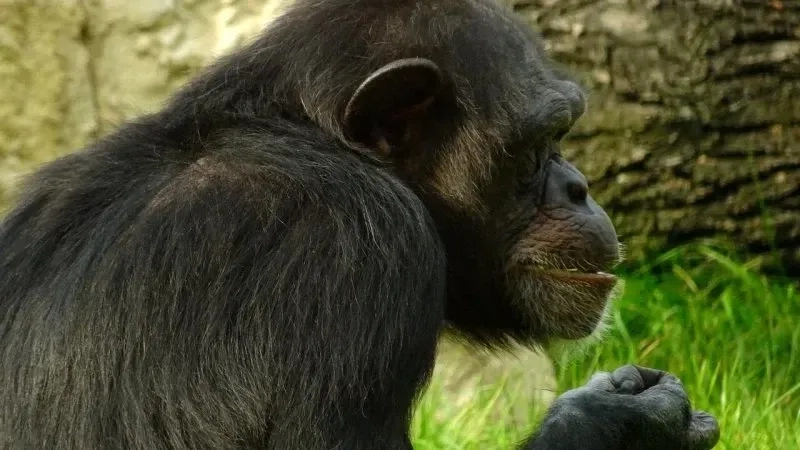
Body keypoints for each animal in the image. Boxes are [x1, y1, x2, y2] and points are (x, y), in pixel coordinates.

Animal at [0, 0, 720, 450]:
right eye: (539, 144)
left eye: (563, 132)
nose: (578, 188)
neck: (310, 136)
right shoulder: (358, 252)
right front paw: (620, 420)